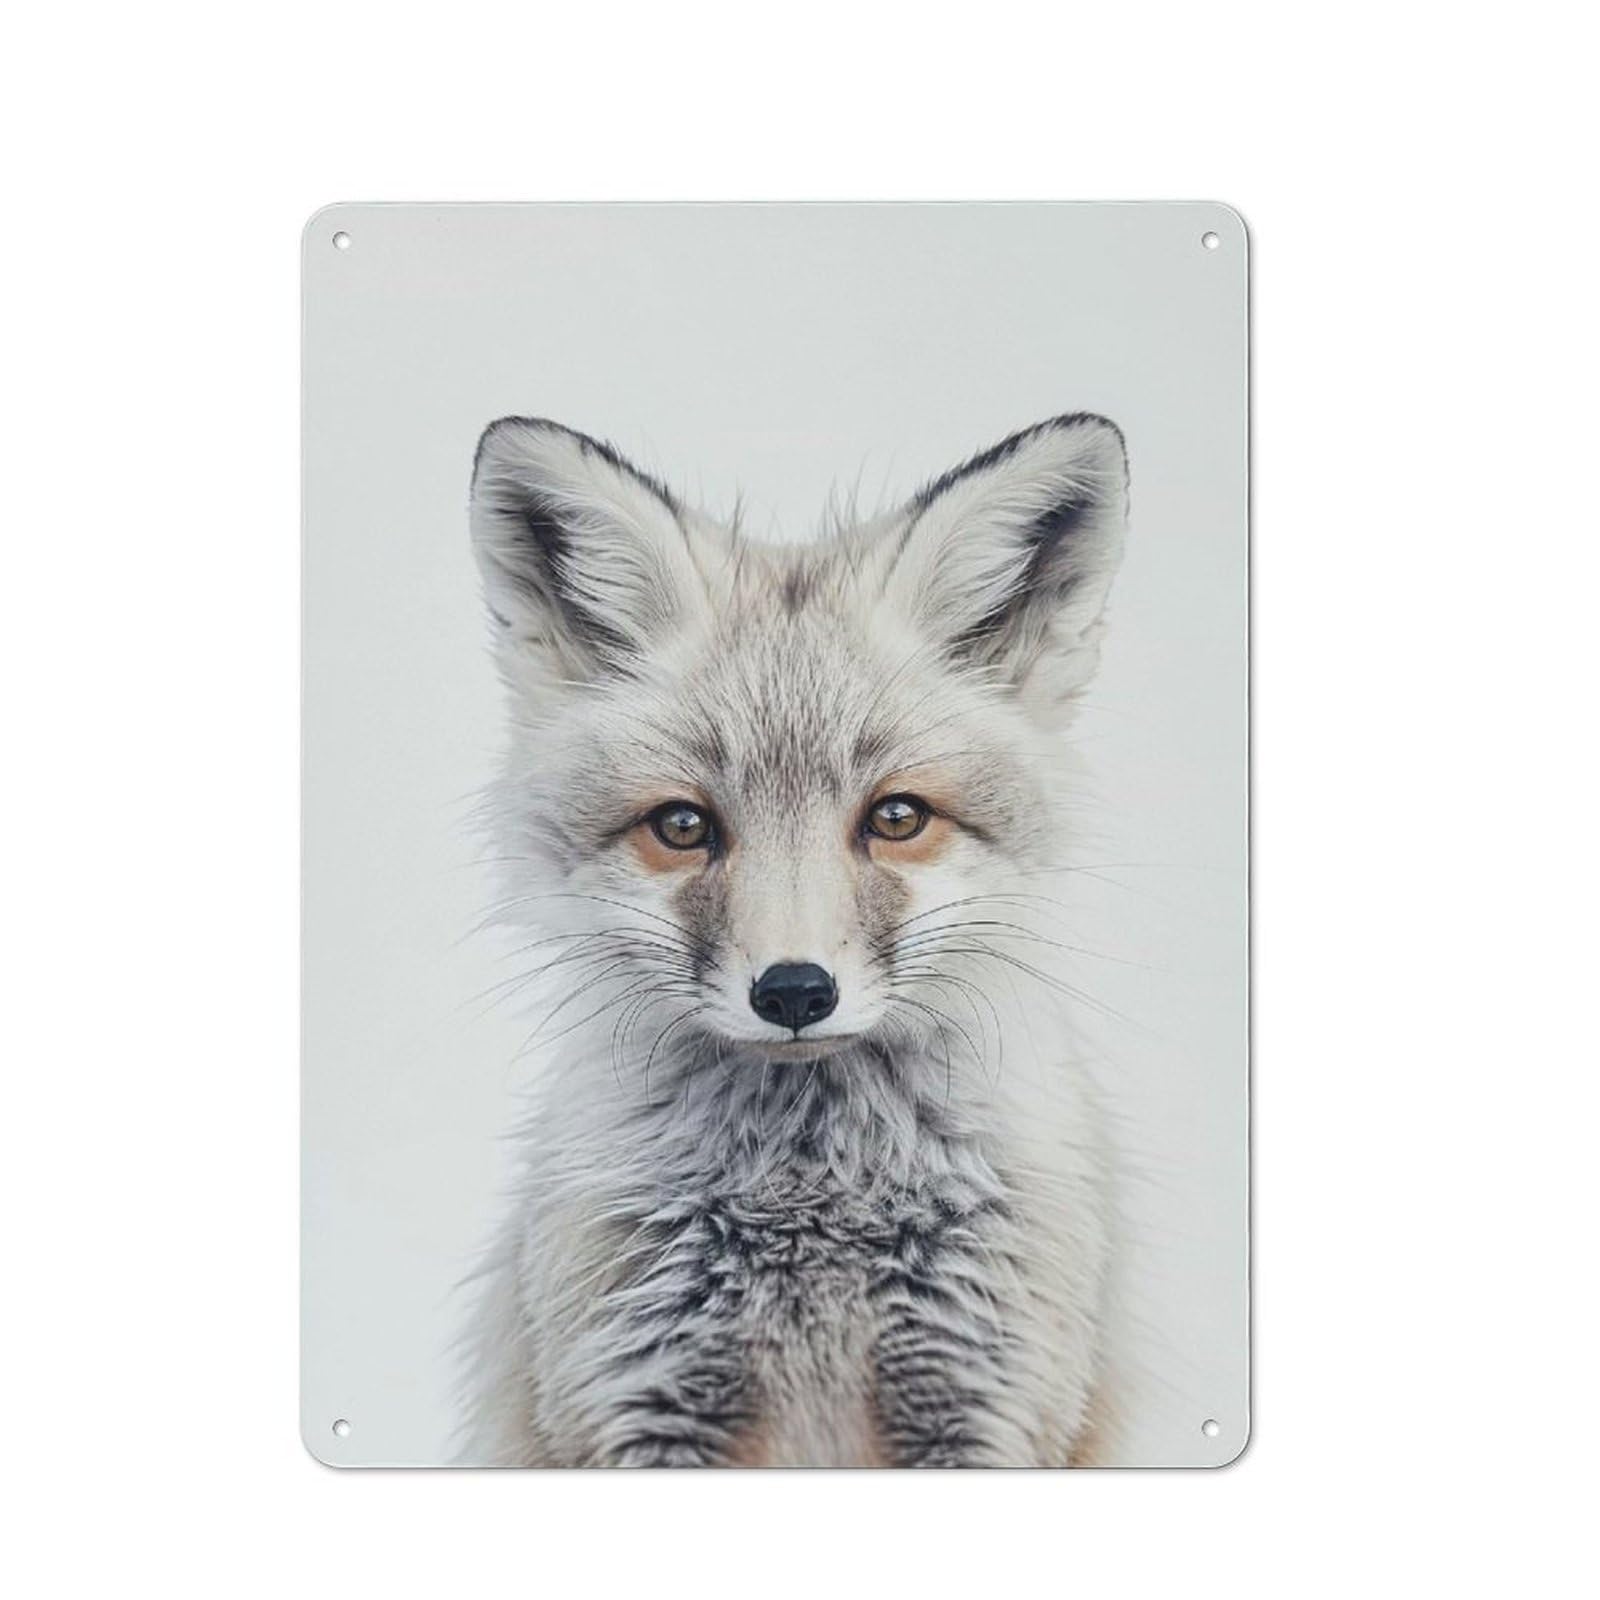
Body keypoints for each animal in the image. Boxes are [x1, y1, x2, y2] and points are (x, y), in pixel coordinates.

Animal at [460, 412, 1130, 1467]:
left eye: (897, 817)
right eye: (682, 825)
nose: (794, 993)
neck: (810, 1194)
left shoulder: (991, 1396)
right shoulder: (637, 1395)